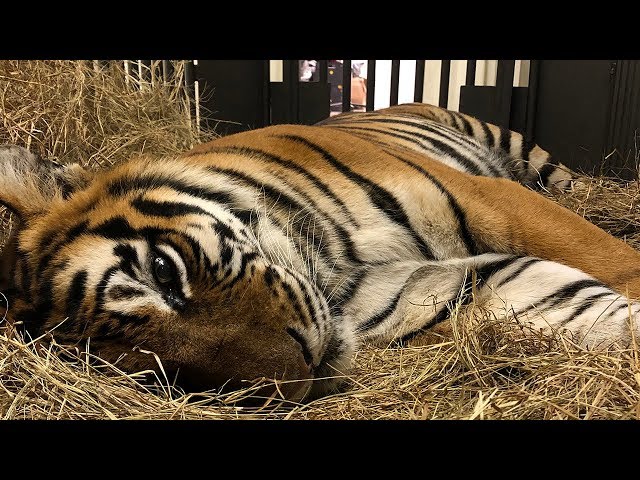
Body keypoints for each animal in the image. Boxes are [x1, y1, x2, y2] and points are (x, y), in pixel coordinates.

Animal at [1, 103, 640, 404]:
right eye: (159, 375)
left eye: (161, 271)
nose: (302, 372)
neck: (331, 268)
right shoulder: (415, 292)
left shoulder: (487, 198)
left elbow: (610, 259)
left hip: (527, 160)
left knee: (566, 188)